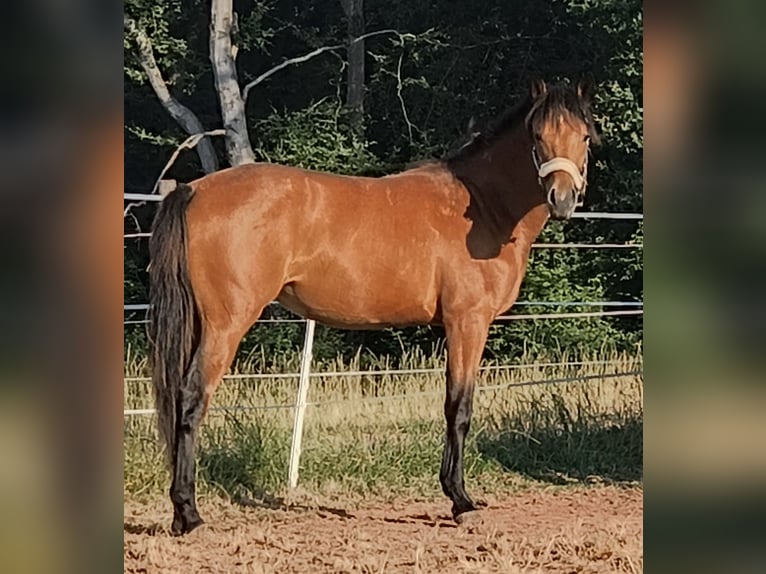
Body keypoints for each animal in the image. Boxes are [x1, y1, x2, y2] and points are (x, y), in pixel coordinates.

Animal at [148, 79, 599, 535]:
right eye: (537, 136)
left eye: (582, 136)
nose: (562, 198)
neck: (482, 206)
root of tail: (194, 189)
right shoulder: (467, 322)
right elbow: (459, 407)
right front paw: (461, 501)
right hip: (226, 324)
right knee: (192, 399)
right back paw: (189, 514)